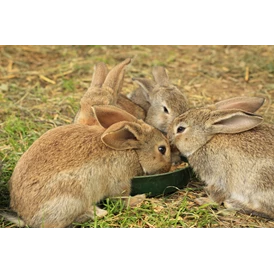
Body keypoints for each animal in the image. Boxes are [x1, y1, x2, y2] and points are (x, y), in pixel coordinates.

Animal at [4, 104, 171, 228]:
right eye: (162, 149)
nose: (168, 168)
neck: (132, 151)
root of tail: (26, 217)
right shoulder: (119, 181)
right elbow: (120, 198)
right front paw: (139, 199)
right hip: (72, 197)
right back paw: (98, 213)